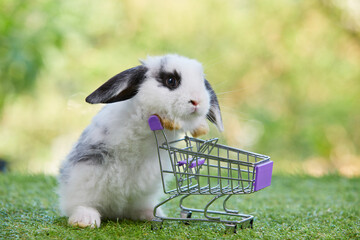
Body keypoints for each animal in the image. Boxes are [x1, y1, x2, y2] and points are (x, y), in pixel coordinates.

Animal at [58, 53, 222, 228]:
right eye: (171, 81)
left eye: (202, 82)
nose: (197, 101)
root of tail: (116, 210)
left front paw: (200, 127)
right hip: (84, 179)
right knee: (80, 204)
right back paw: (84, 221)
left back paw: (153, 215)